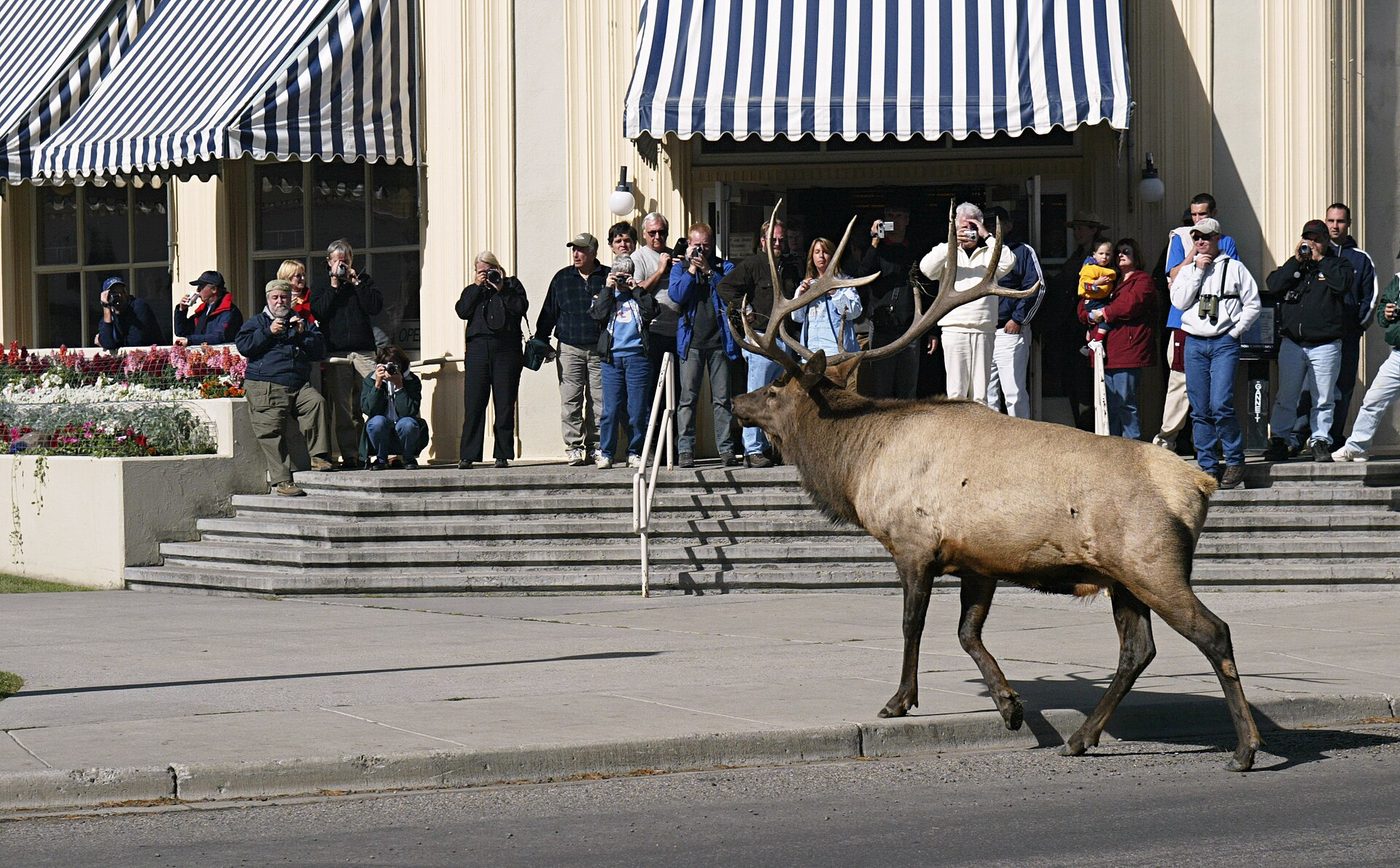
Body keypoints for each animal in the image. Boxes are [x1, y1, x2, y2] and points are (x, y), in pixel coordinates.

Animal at [726, 202, 1264, 772]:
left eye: (775, 387)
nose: (737, 401)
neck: (858, 464)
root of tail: (1199, 485)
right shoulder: (978, 561)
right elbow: (968, 634)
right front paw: (1010, 706)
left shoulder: (913, 544)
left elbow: (912, 625)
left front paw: (900, 700)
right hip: (1122, 578)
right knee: (1137, 650)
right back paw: (1081, 737)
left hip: (1151, 562)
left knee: (1214, 632)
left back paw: (1245, 748)